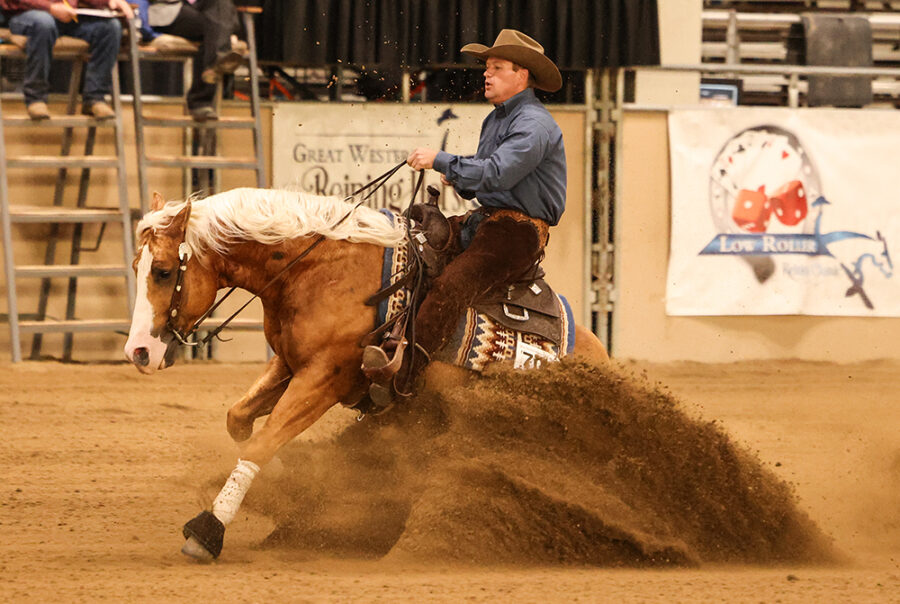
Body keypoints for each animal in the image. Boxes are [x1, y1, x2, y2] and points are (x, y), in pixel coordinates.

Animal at [123, 186, 608, 560]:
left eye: (163, 271)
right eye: (136, 267)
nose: (138, 351)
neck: (321, 271)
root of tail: (597, 357)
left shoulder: (323, 379)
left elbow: (263, 439)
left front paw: (208, 531)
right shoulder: (290, 364)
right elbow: (240, 420)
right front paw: (282, 480)